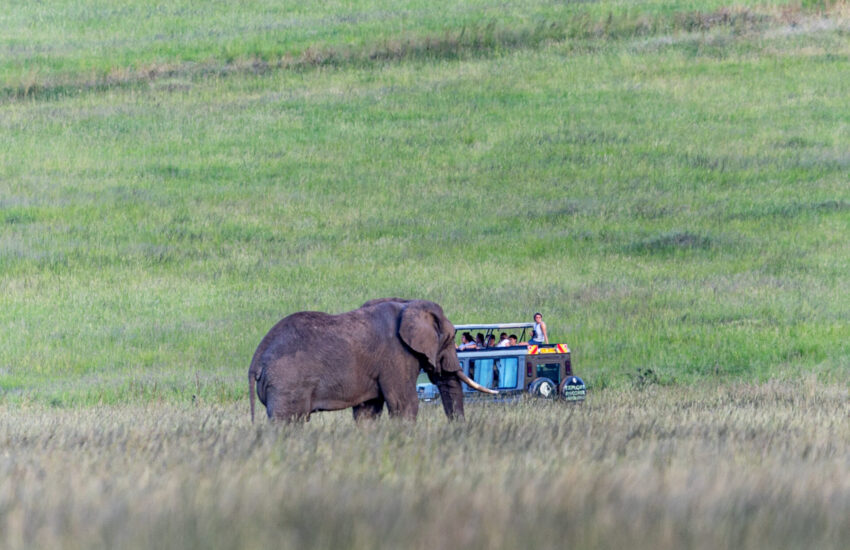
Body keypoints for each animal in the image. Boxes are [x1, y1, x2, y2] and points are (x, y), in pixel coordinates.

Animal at [248, 298, 496, 422]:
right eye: (451, 337)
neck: (408, 305)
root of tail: (256, 360)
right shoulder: (396, 355)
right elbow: (404, 404)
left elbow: (367, 412)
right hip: (286, 383)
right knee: (288, 422)